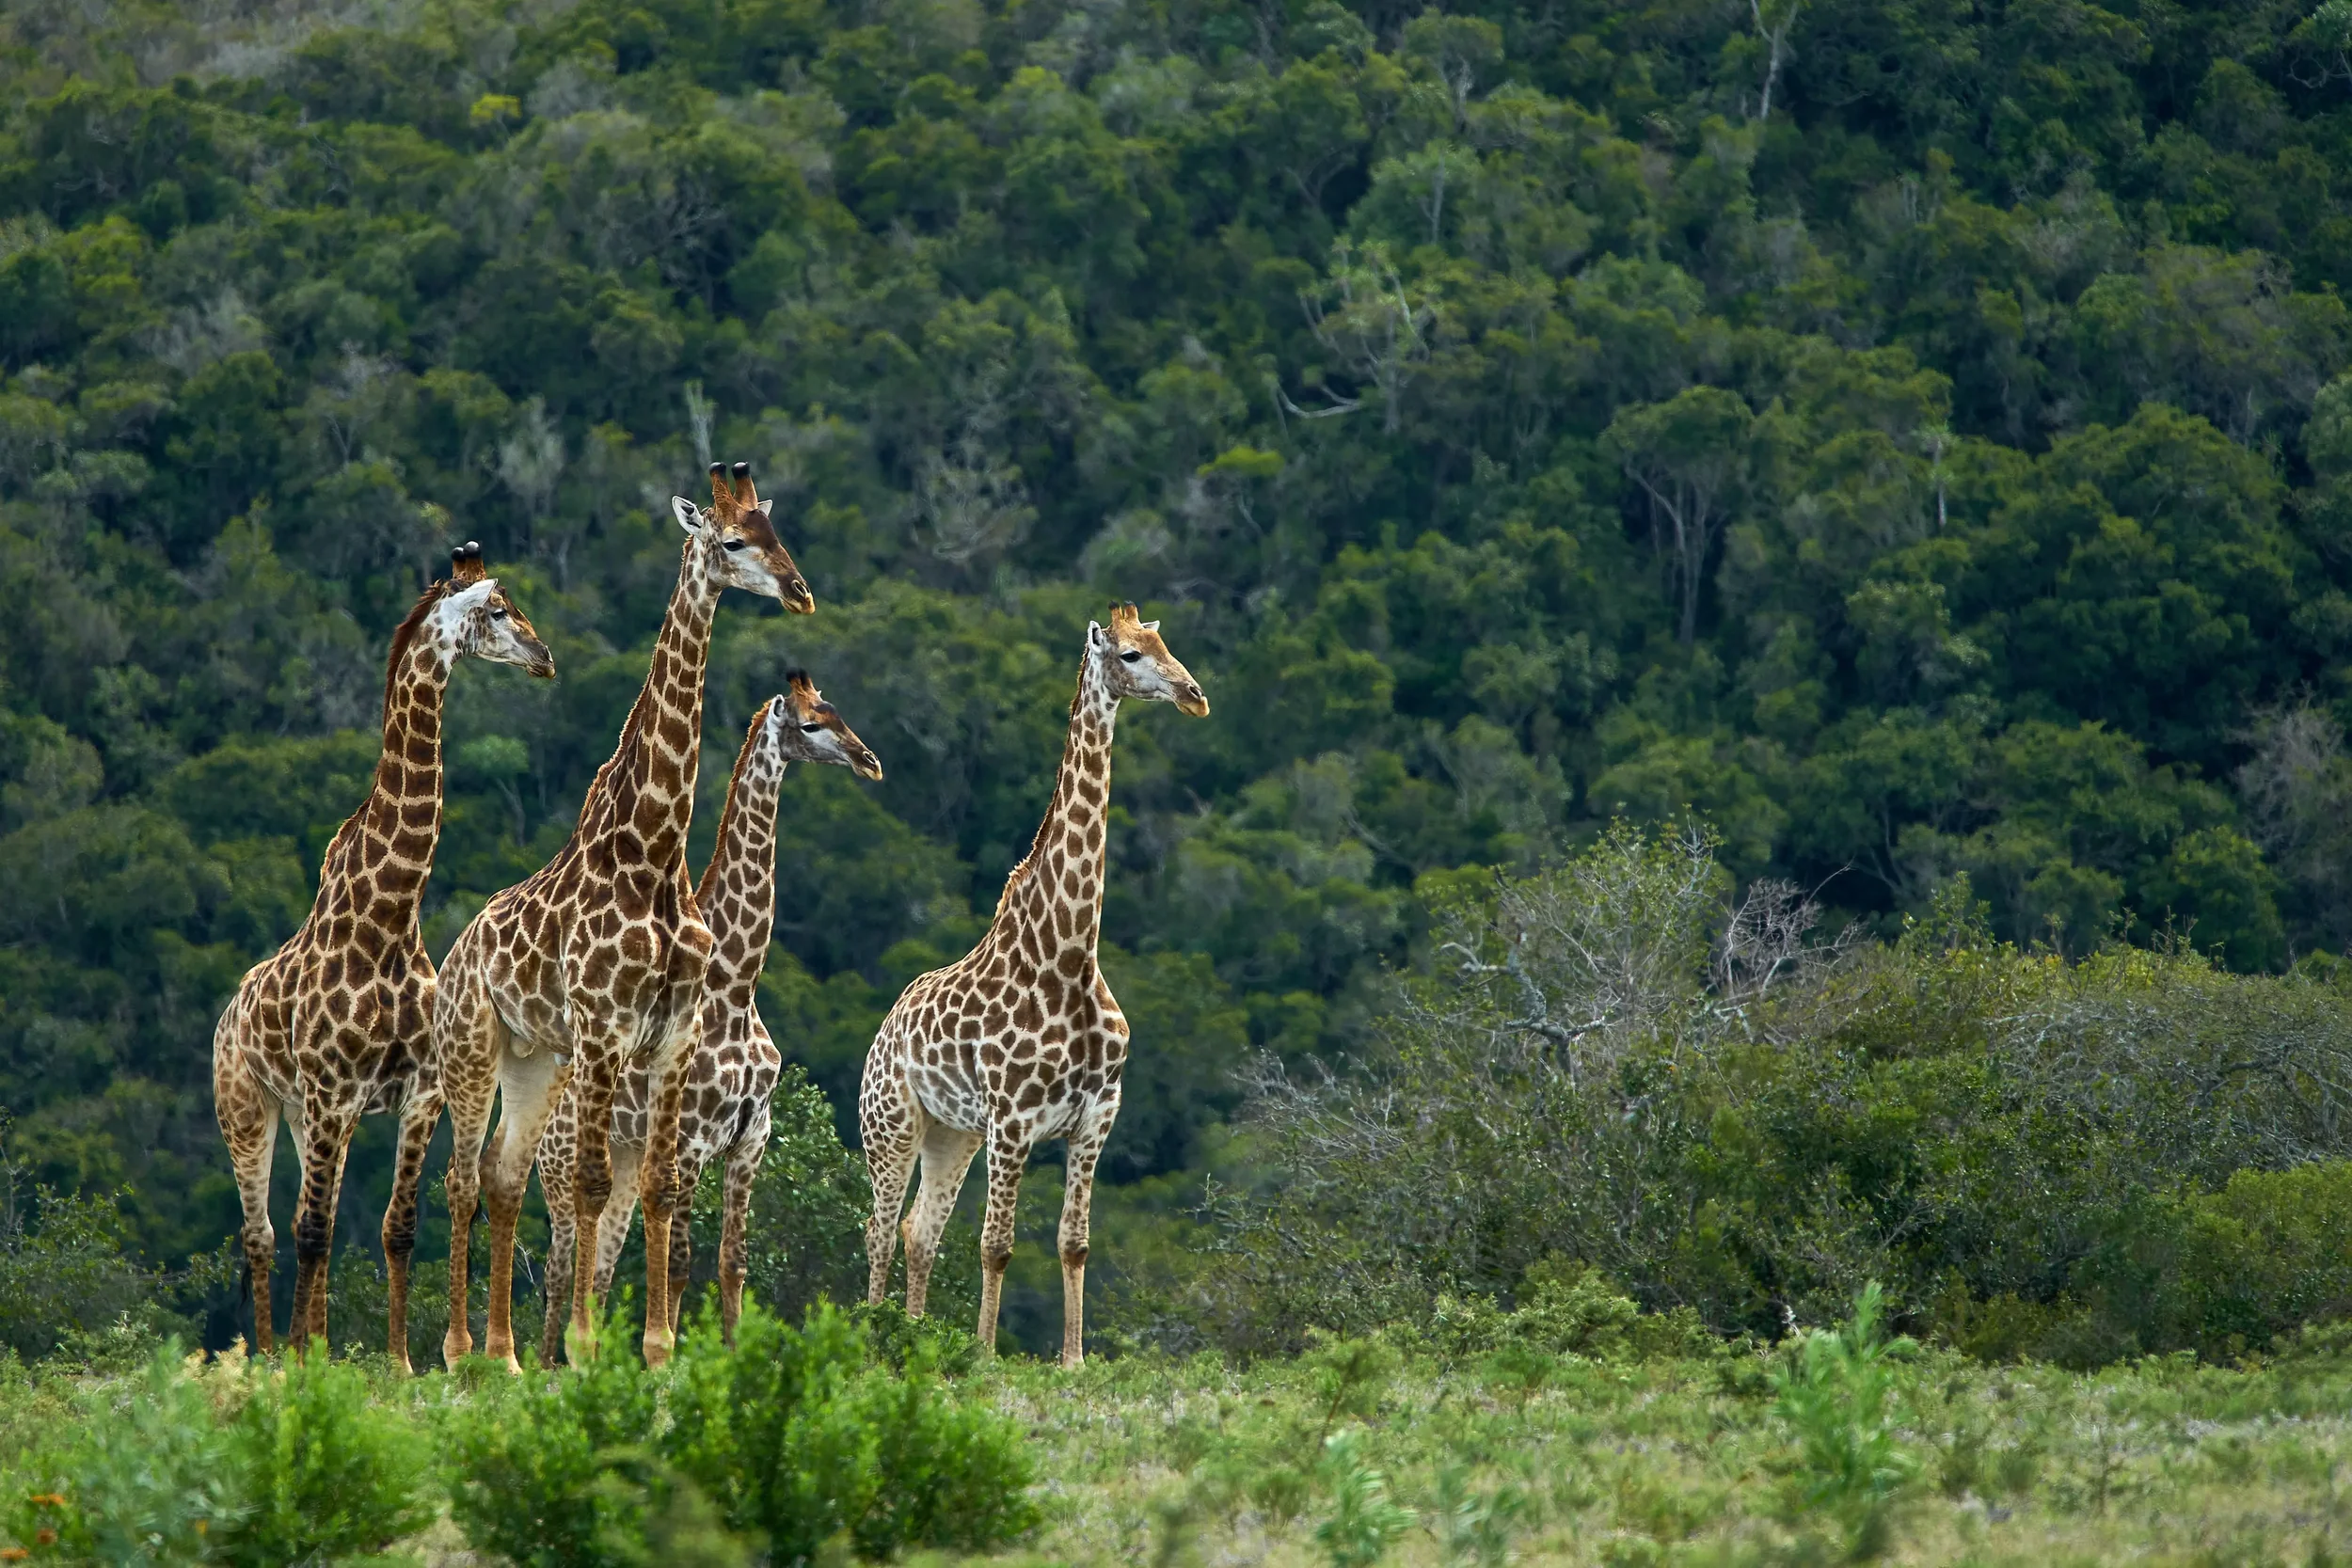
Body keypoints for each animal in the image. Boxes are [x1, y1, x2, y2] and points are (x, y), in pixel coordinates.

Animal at [212, 543, 554, 1362]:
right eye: (500, 610)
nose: (545, 657)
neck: (391, 916)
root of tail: (228, 1014)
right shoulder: (333, 1089)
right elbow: (313, 1232)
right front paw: (305, 1365)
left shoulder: (418, 1089)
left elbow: (395, 1227)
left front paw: (397, 1361)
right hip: (247, 1104)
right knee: (263, 1233)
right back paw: (269, 1356)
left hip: (301, 1113)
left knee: (302, 1221)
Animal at [417, 461, 811, 1372]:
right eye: (732, 541)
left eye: (776, 533)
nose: (800, 591)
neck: (653, 853)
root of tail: (456, 950)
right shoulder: (603, 1028)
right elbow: (597, 1189)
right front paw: (589, 1348)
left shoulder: (672, 1037)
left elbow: (658, 1191)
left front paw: (659, 1349)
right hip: (476, 1048)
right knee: (463, 1178)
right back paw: (461, 1349)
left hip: (536, 1059)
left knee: (501, 1176)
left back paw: (504, 1352)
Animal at [536, 671, 883, 1363]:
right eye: (811, 723)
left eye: (837, 709)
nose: (868, 760)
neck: (737, 985)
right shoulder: (694, 1138)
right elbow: (679, 1262)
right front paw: (671, 1358)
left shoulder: (752, 1137)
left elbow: (732, 1261)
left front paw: (732, 1352)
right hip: (561, 1178)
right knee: (557, 1271)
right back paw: (538, 1363)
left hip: (622, 1165)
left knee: (600, 1267)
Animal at [859, 602, 1207, 1367]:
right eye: (1131, 655)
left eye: (1166, 642)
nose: (1194, 695)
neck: (1068, 958)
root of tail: (884, 1028)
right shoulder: (1014, 1119)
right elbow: (997, 1245)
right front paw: (985, 1355)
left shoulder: (1097, 1115)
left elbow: (1073, 1243)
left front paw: (1072, 1358)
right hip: (892, 1123)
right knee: (879, 1227)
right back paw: (873, 1336)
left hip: (952, 1134)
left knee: (918, 1231)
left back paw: (915, 1339)